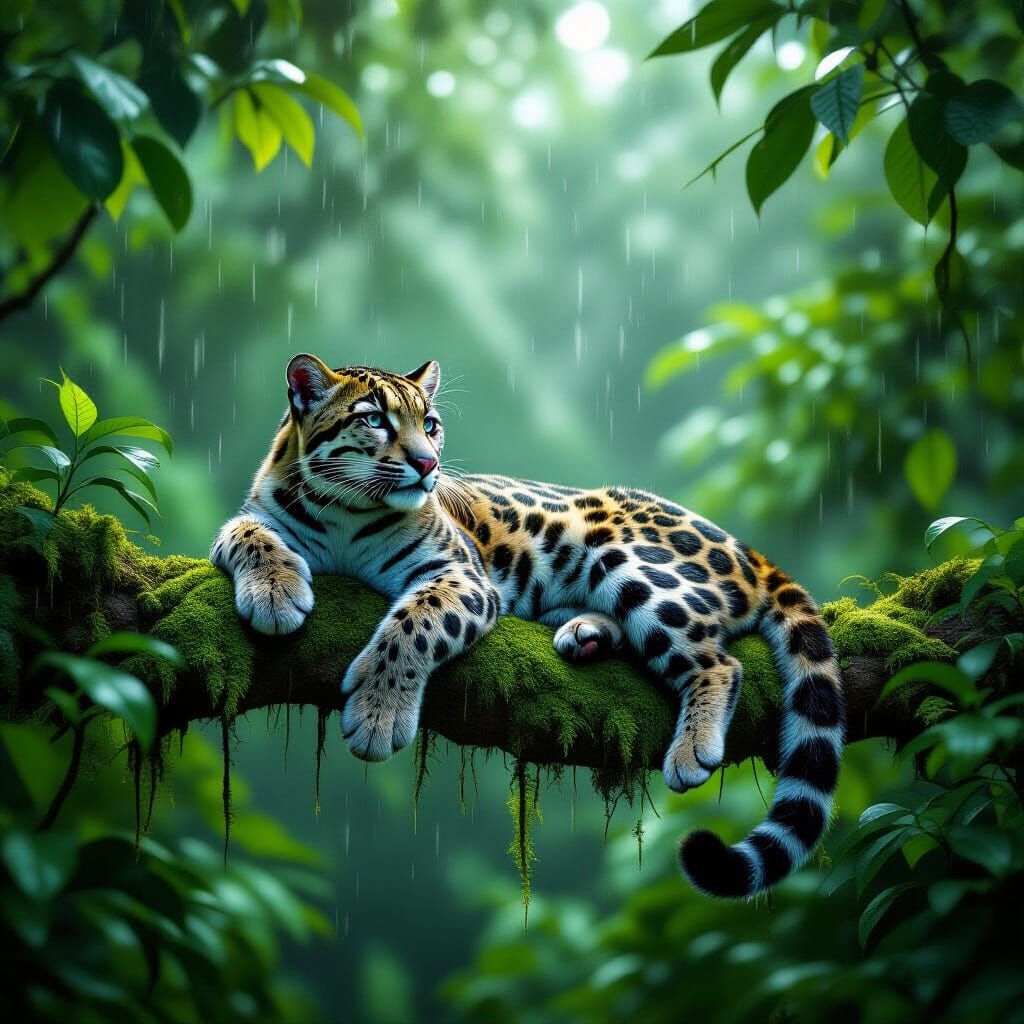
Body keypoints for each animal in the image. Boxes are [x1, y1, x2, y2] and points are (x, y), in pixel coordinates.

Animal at [212, 353, 845, 898]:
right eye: (373, 420)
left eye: (430, 425)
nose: (427, 465)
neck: (343, 512)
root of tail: (747, 549)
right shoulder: (251, 519)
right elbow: (247, 534)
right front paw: (275, 593)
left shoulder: (463, 575)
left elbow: (413, 625)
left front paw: (378, 714)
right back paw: (585, 635)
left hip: (635, 566)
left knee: (719, 661)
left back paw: (692, 749)